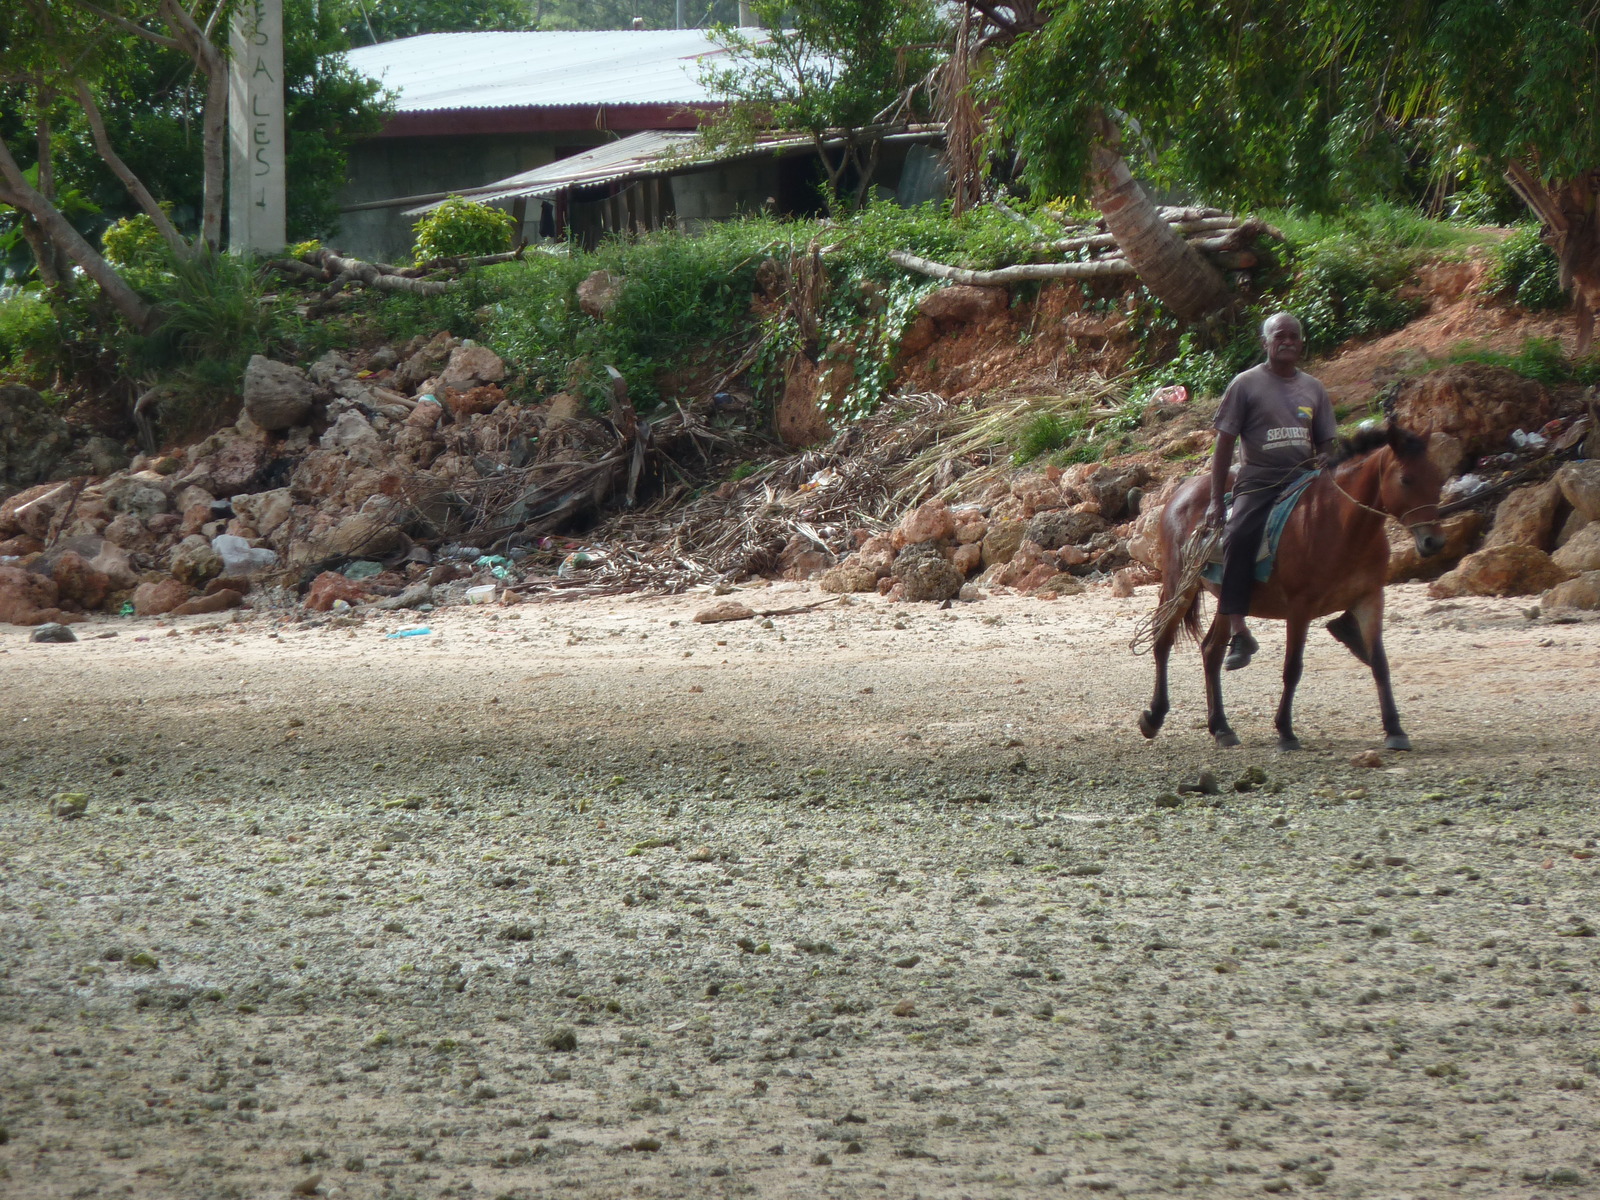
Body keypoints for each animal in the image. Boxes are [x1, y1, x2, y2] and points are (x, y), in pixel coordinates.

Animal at [1139, 425, 1452, 752]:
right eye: (1406, 479)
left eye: (1437, 478)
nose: (1433, 542)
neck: (1342, 524)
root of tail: (1180, 493)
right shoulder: (1300, 607)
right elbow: (1292, 668)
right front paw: (1285, 731)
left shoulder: (1370, 598)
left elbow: (1379, 663)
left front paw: (1394, 729)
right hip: (1179, 585)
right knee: (1162, 639)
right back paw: (1154, 716)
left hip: (1224, 596)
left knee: (1211, 650)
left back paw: (1221, 727)